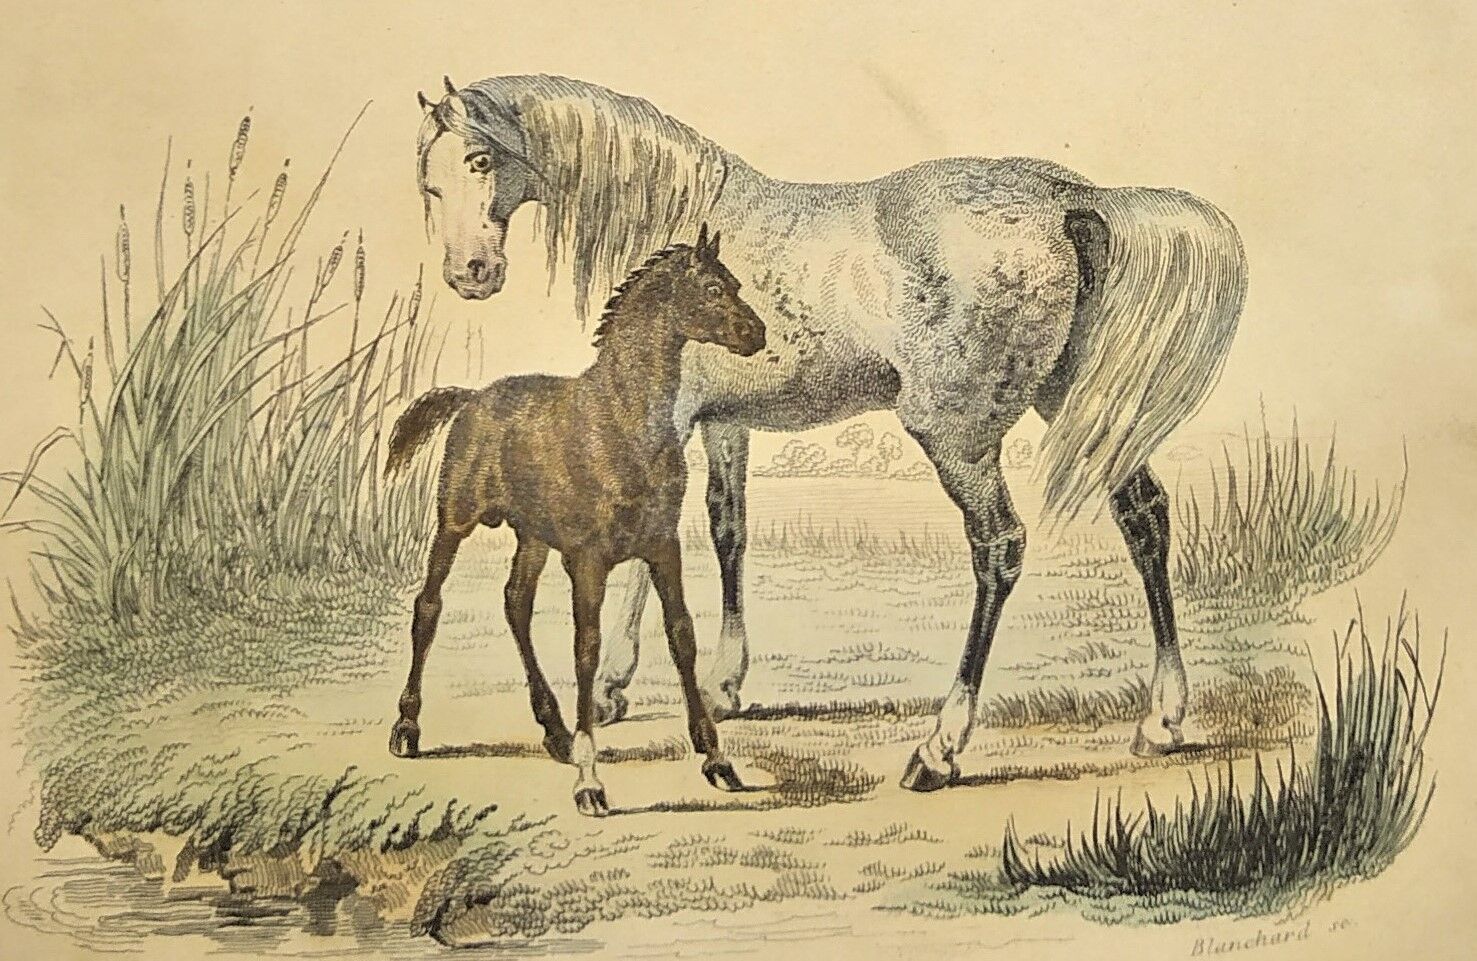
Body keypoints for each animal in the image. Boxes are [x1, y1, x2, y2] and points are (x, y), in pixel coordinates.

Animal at [383, 225, 766, 816]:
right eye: (710, 288)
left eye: (736, 284)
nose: (757, 334)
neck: (623, 420)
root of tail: (471, 398)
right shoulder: (588, 560)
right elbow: (586, 649)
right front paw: (590, 780)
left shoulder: (662, 545)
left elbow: (681, 637)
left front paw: (716, 760)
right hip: (455, 520)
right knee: (428, 606)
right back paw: (407, 728)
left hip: (533, 537)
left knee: (515, 602)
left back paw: (555, 732)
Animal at [413, 74, 1247, 792]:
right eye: (428, 182)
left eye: (479, 160)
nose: (471, 272)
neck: (677, 219)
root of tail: (1070, 199)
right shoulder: (724, 424)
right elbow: (726, 530)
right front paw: (722, 684)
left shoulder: (670, 421)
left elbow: (656, 547)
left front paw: (619, 683)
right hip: (1084, 405)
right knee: (1143, 519)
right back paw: (1161, 719)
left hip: (957, 434)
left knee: (999, 549)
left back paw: (938, 748)